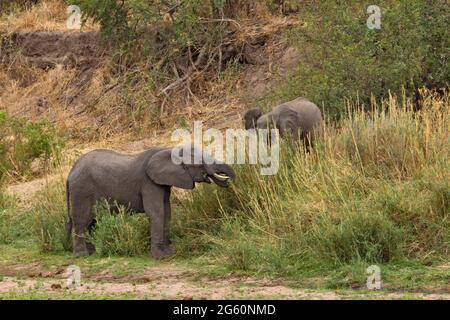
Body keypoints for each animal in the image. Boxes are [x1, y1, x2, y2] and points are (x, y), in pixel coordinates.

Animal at [67, 145, 236, 260]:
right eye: (198, 163)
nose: (229, 180)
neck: (169, 150)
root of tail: (71, 171)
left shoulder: (163, 183)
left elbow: (167, 212)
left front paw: (168, 253)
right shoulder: (148, 182)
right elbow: (156, 212)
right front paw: (159, 257)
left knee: (92, 222)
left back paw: (92, 253)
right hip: (81, 190)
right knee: (82, 220)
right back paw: (81, 256)